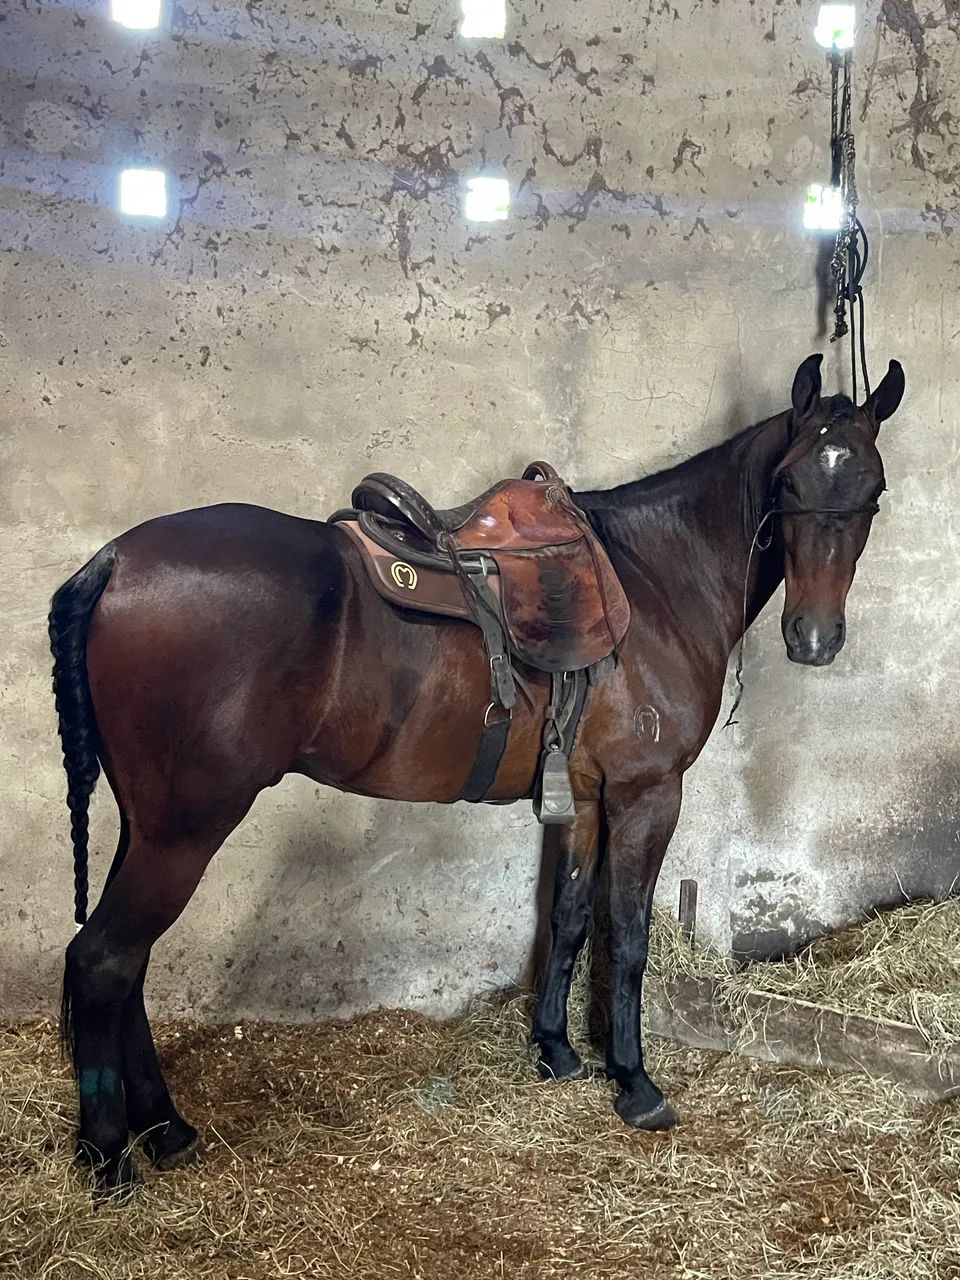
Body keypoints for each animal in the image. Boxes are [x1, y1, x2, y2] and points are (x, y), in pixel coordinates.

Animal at [48, 352, 905, 1197]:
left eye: (872, 489)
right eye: (788, 485)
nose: (815, 637)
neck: (656, 579)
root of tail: (116, 562)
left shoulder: (584, 798)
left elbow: (568, 917)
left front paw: (556, 1050)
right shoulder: (646, 795)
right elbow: (626, 936)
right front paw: (634, 1082)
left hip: (149, 827)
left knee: (126, 963)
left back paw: (167, 1131)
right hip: (186, 830)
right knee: (104, 961)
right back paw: (111, 1157)